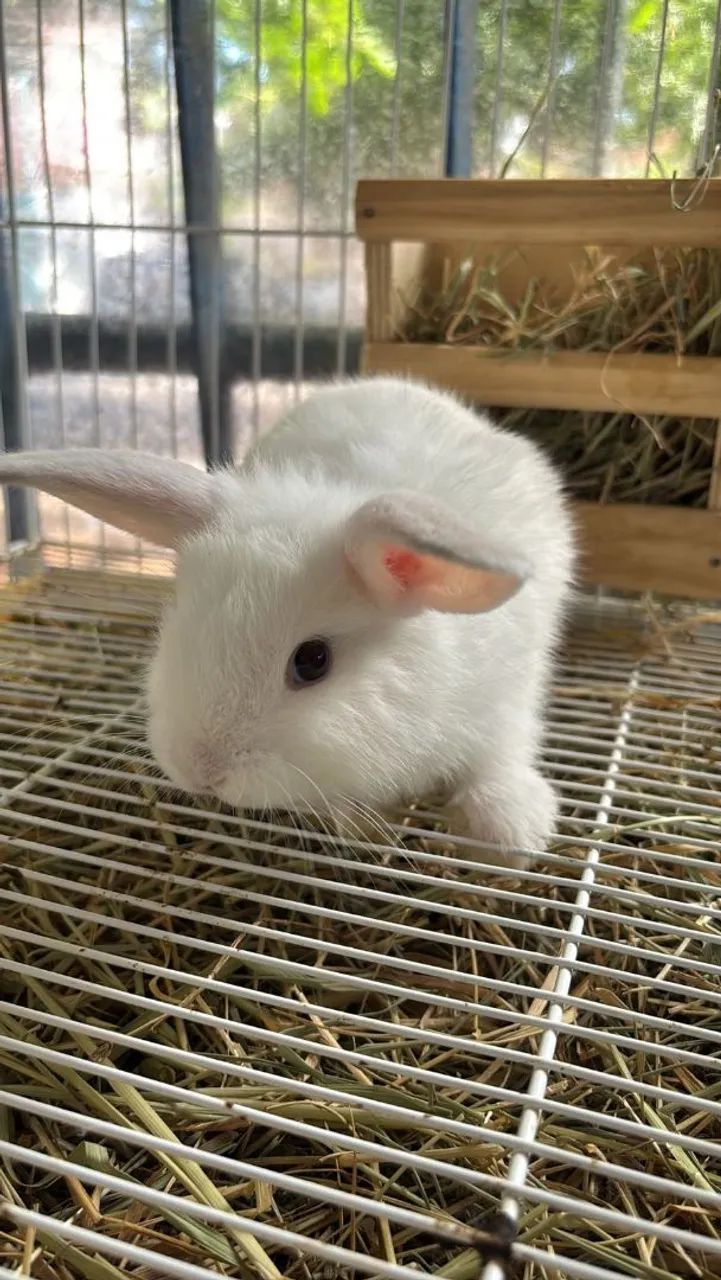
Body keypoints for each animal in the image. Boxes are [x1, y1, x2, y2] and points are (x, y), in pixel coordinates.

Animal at [0, 377, 575, 867]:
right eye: (179, 623)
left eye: (313, 661)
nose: (201, 771)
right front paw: (362, 826)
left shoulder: (503, 703)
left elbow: (498, 757)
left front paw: (511, 836)